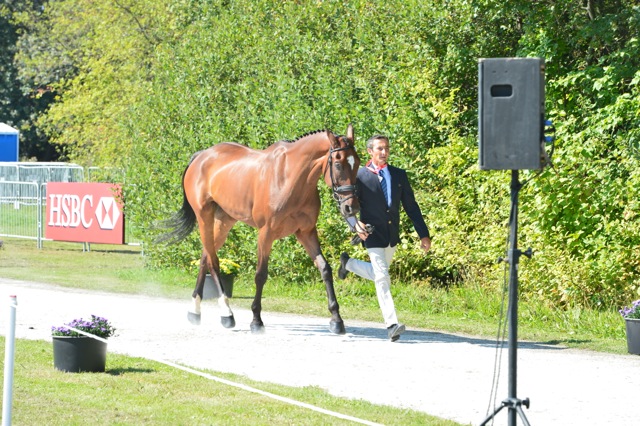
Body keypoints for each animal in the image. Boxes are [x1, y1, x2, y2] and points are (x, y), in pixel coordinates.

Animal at [159, 125, 360, 334]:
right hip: (204, 218)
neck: (290, 177)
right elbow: (261, 274)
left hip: (224, 221)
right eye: (338, 164)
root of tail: (201, 156)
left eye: (358, 162)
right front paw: (256, 320)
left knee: (205, 258)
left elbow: (324, 269)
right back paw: (226, 314)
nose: (351, 208)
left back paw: (195, 312)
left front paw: (336, 319)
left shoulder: (306, 233)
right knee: (213, 262)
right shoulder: (266, 234)